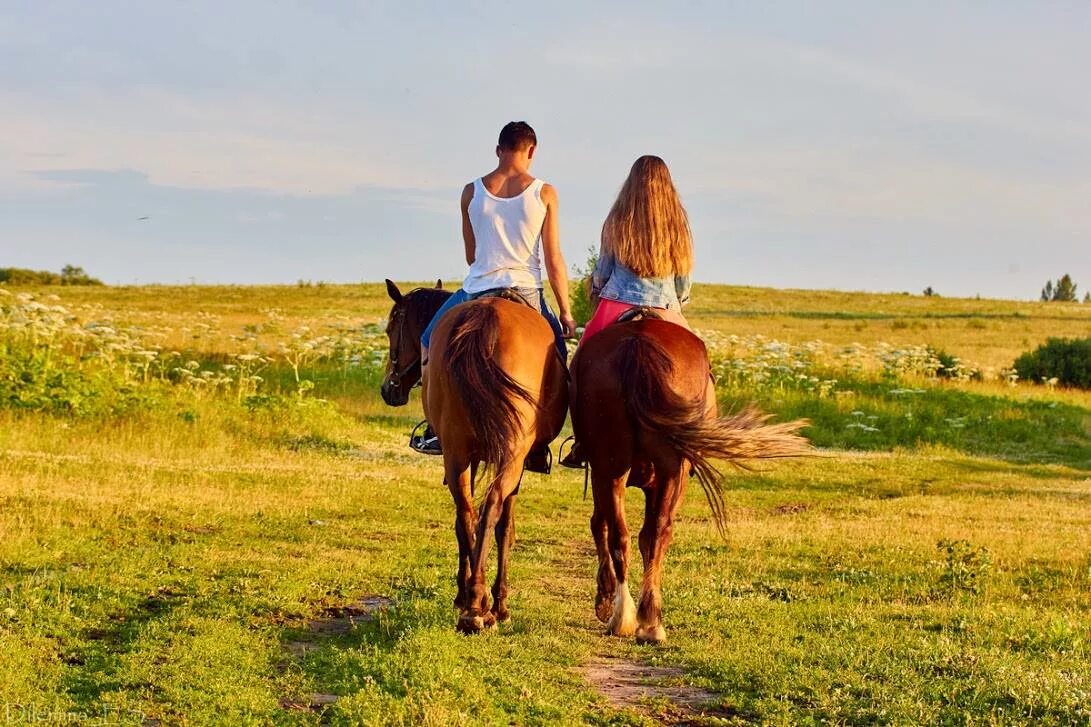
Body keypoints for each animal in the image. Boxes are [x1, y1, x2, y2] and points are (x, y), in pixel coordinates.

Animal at [381, 279, 567, 633]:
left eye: (390, 329)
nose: (388, 390)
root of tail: (487, 319)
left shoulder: (473, 456)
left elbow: (469, 522)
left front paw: (466, 594)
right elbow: (504, 526)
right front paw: (500, 604)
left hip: (458, 452)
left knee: (467, 513)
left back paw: (472, 604)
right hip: (507, 455)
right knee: (488, 509)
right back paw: (479, 607)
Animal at [571, 316, 811, 641]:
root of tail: (638, 342)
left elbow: (606, 525)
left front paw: (605, 600)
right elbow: (604, 525)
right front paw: (605, 600)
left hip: (619, 466)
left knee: (635, 534)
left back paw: (635, 619)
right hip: (659, 470)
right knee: (647, 533)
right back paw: (639, 619)